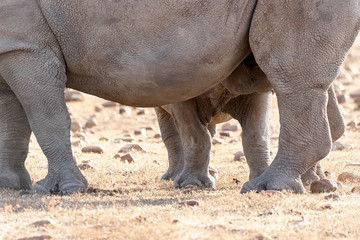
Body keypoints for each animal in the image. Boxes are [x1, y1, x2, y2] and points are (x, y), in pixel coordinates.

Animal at [0, 0, 358, 195]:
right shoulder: (13, 46)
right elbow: (13, 122)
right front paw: (9, 184)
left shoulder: (26, 44)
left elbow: (47, 119)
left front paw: (61, 189)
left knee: (289, 78)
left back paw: (270, 188)